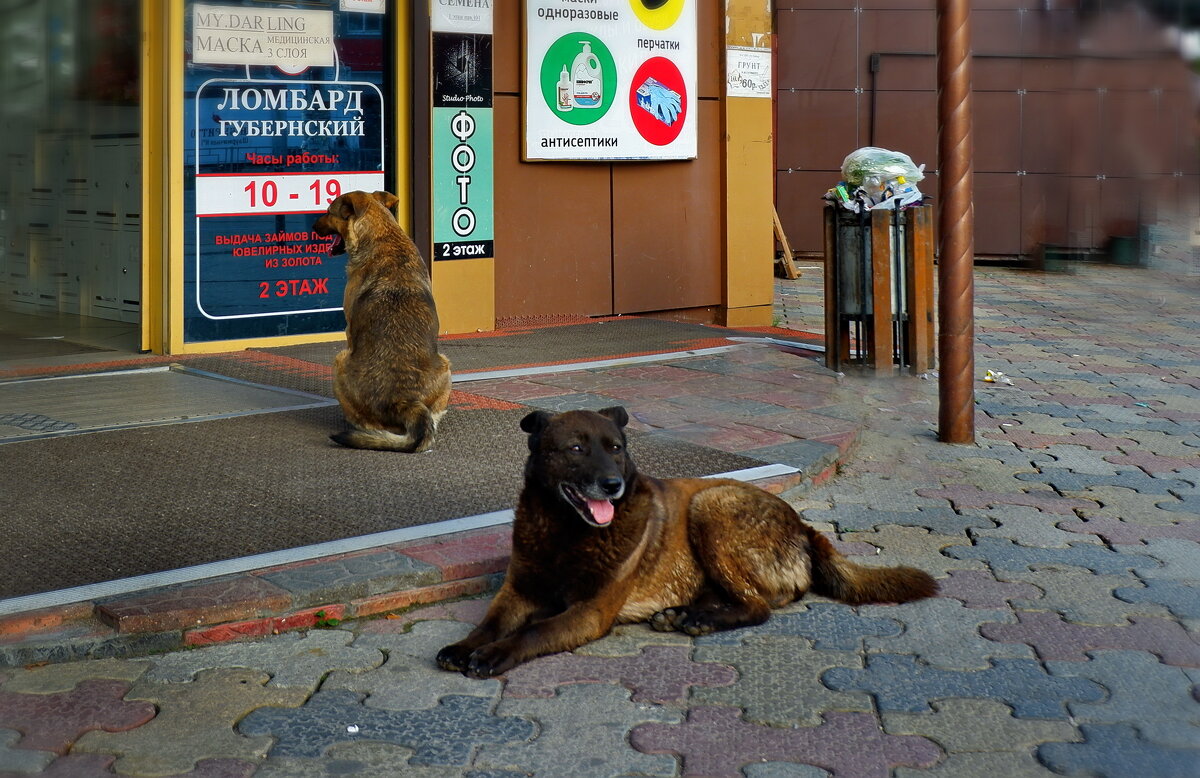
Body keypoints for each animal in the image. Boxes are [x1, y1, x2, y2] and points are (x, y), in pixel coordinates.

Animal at [312, 189, 451, 453]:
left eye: (328, 212)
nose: (312, 227)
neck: (384, 235)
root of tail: (404, 400)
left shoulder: (349, 331)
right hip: (446, 365)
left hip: (339, 360)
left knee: (365, 422)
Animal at [436, 403, 940, 677]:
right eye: (576, 449)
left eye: (616, 448)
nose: (612, 485)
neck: (565, 531)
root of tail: (804, 527)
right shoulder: (517, 591)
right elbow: (489, 622)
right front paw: (465, 646)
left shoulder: (590, 612)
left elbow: (532, 631)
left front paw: (494, 654)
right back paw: (683, 612)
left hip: (711, 504)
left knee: (758, 606)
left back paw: (698, 619)